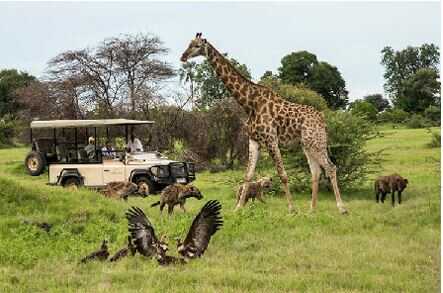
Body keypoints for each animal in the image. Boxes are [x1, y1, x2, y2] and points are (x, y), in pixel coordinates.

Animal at [182, 33, 348, 213]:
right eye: (189, 44)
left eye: (197, 46)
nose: (183, 57)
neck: (249, 103)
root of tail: (322, 119)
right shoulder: (254, 140)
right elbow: (248, 175)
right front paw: (238, 208)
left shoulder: (271, 139)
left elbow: (283, 174)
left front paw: (291, 208)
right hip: (307, 144)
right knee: (316, 172)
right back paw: (312, 209)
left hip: (316, 141)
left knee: (330, 168)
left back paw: (341, 208)